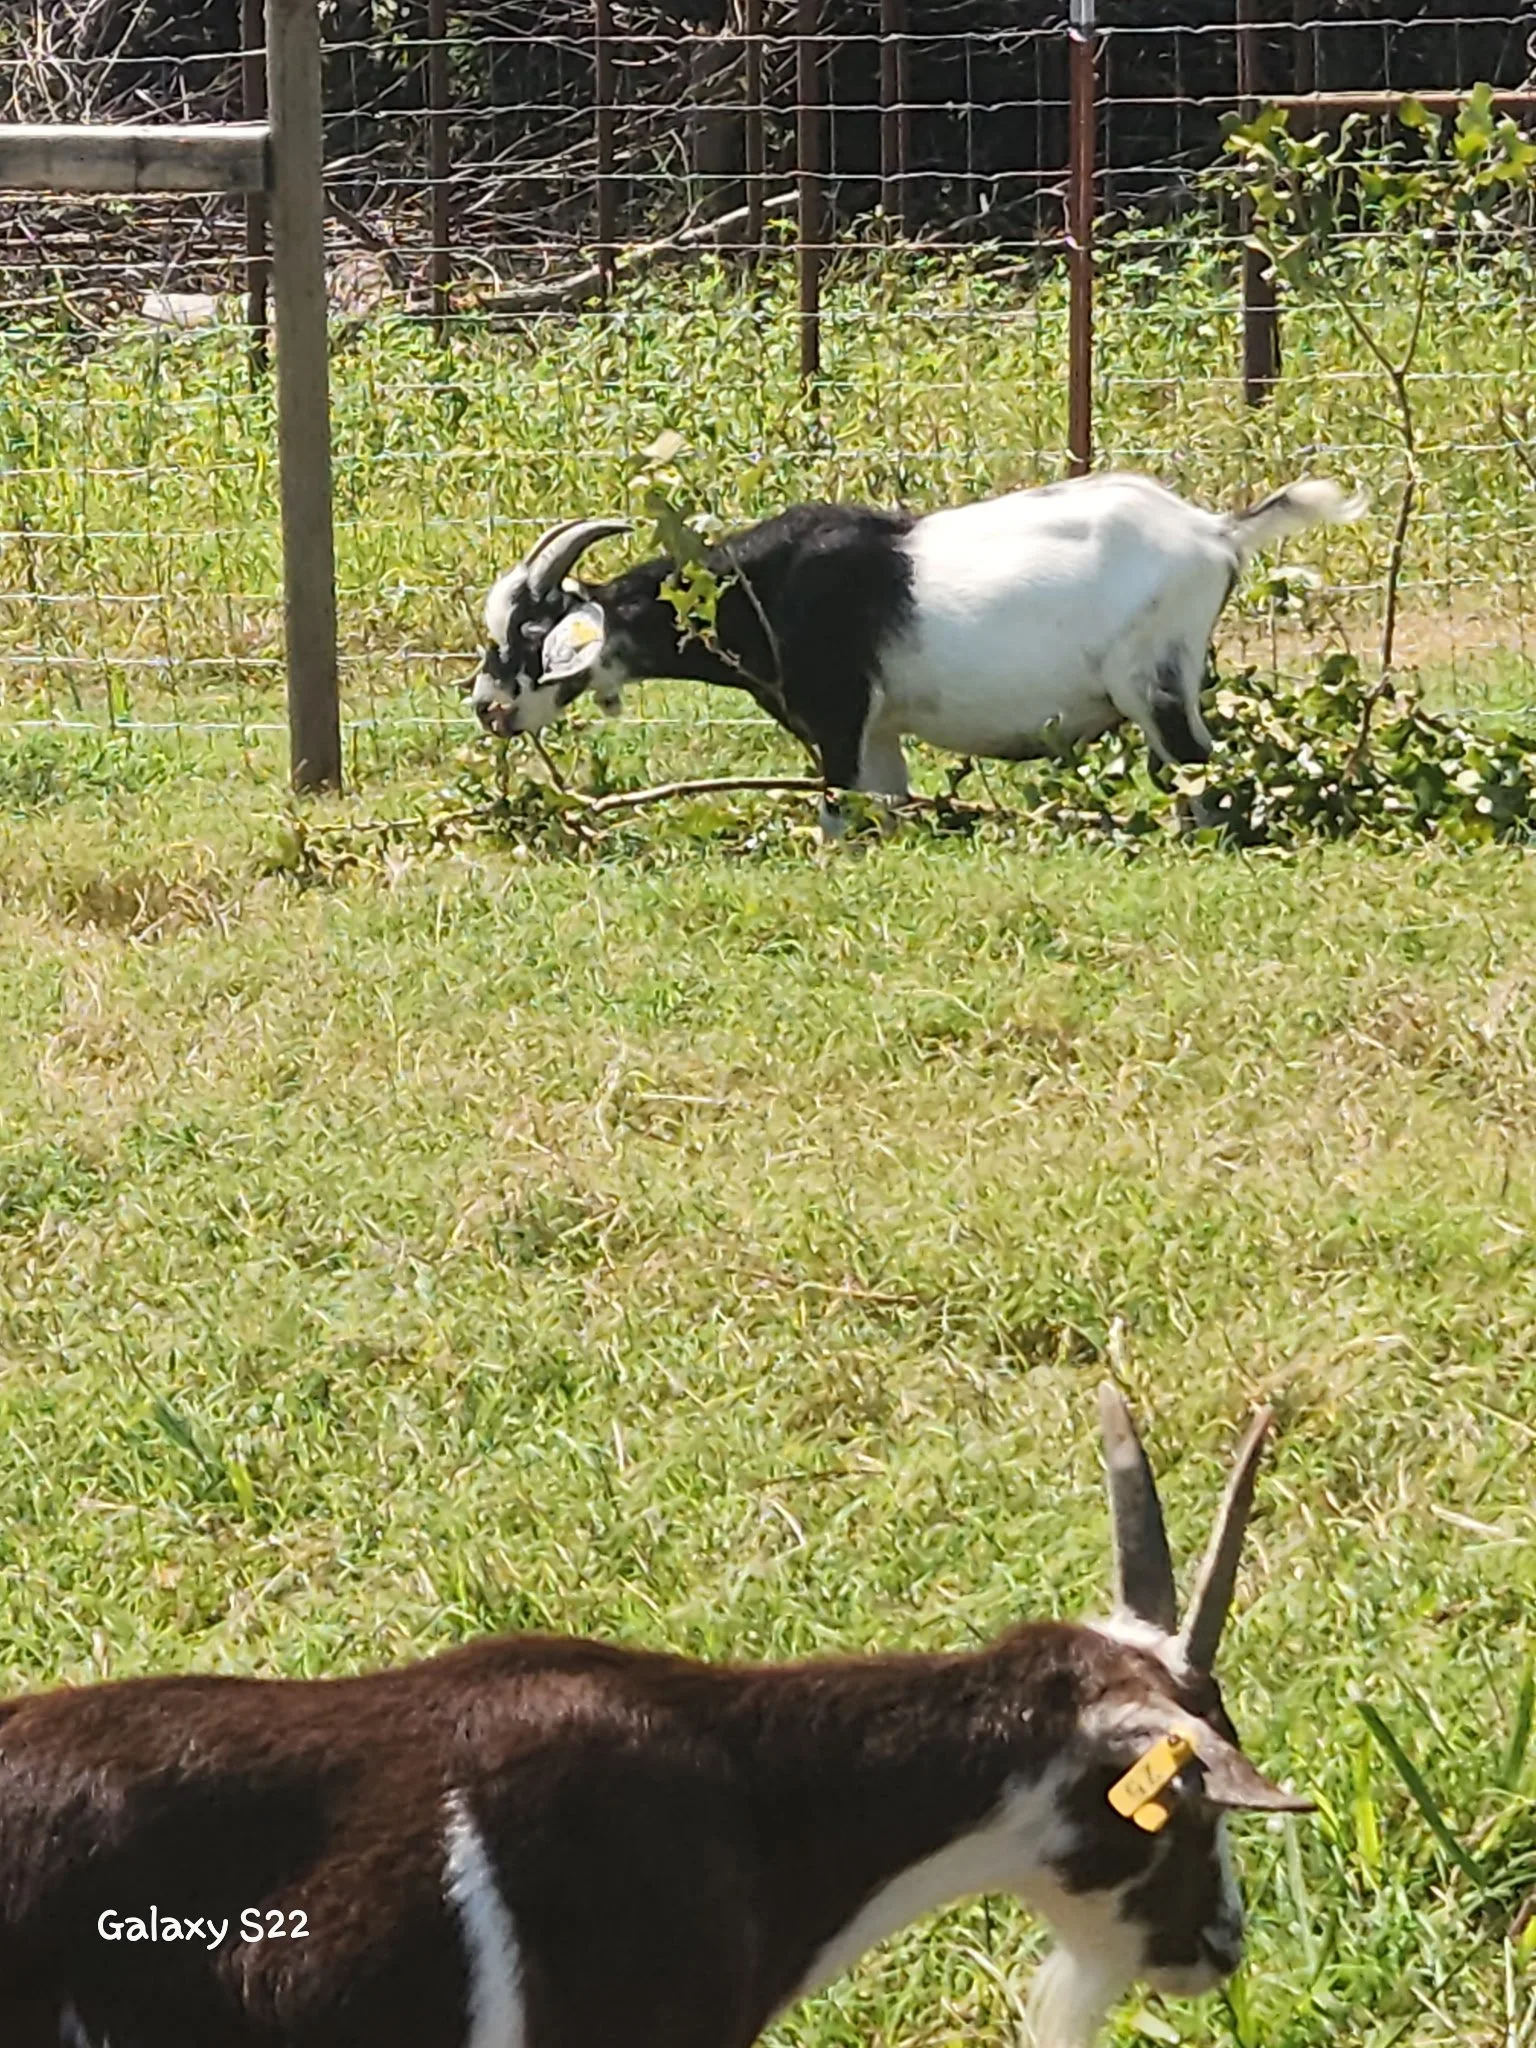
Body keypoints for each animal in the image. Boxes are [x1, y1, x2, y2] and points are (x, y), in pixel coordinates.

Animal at [468, 474, 1364, 835]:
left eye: (530, 636)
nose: (486, 707)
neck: (764, 586)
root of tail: (1216, 533)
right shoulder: (879, 731)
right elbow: (886, 810)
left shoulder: (836, 718)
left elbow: (836, 817)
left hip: (1153, 678)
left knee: (1197, 769)